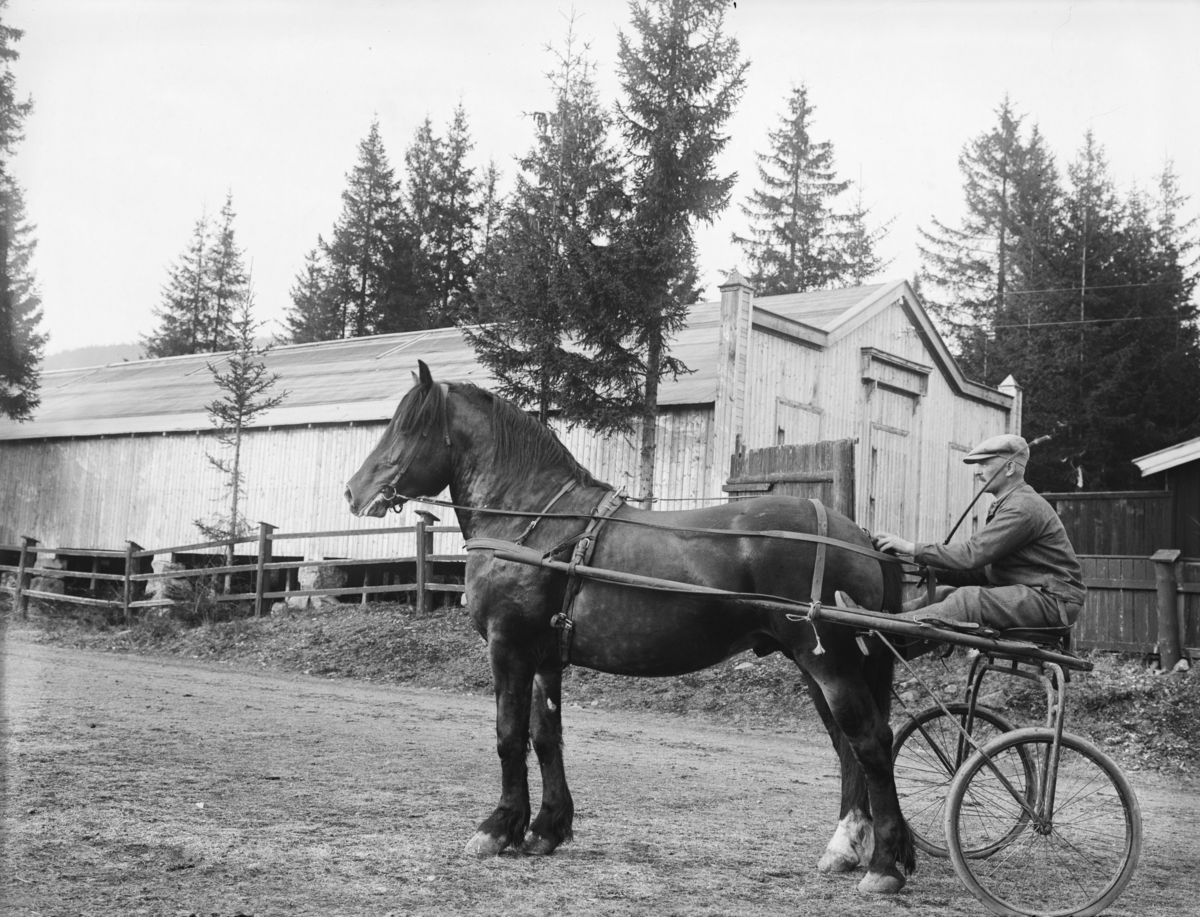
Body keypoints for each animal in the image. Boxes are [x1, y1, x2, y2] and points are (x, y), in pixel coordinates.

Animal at [348, 362, 916, 892]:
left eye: (408, 427)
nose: (354, 491)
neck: (534, 524)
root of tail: (858, 535)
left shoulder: (508, 648)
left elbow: (509, 736)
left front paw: (497, 828)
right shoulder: (544, 658)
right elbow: (546, 737)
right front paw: (545, 829)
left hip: (828, 662)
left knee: (870, 742)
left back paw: (883, 866)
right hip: (822, 666)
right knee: (848, 750)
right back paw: (847, 848)